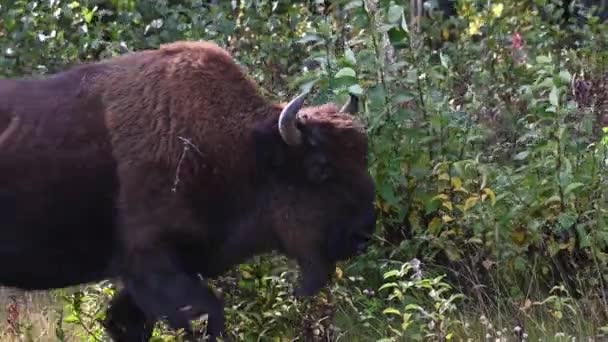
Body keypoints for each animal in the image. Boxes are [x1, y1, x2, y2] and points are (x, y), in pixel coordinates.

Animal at [0, 41, 376, 340]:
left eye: (363, 157)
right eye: (320, 167)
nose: (363, 234)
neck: (245, 151)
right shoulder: (153, 263)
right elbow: (209, 314)